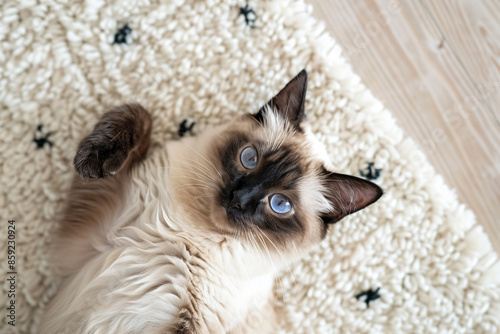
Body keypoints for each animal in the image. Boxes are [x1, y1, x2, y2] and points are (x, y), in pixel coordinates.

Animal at [40, 69, 382, 332]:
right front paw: (97, 156)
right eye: (249, 158)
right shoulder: (88, 239)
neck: (193, 232)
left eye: (280, 204)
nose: (239, 197)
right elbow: (141, 112)